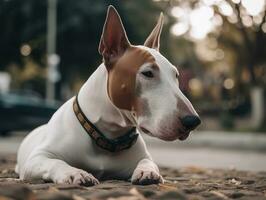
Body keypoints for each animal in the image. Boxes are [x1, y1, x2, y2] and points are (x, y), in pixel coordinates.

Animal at [16, 5, 200, 186]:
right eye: (148, 73)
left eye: (176, 75)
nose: (193, 121)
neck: (108, 134)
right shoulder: (37, 158)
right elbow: (56, 162)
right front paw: (75, 173)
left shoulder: (143, 156)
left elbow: (147, 161)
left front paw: (147, 172)